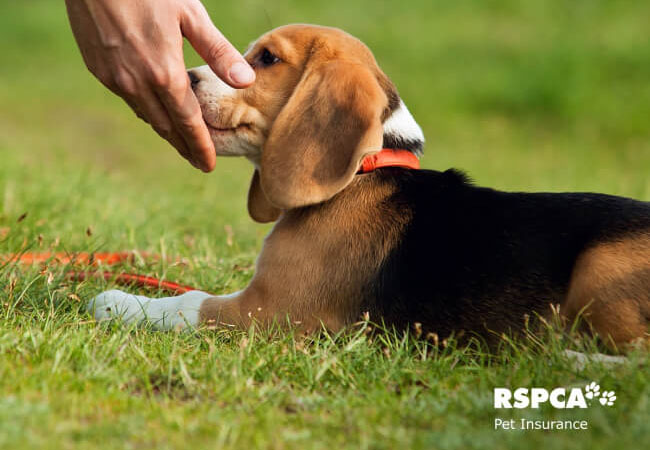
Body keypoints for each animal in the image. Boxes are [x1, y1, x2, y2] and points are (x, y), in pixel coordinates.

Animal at [91, 23, 648, 348]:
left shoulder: (270, 310)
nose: (185, 78)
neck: (364, 171)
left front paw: (118, 301)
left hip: (603, 268)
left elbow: (187, 302)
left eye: (267, 59)